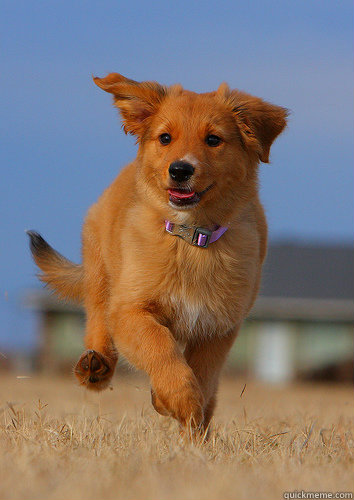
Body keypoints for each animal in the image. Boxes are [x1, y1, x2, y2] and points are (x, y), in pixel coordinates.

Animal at [27, 72, 288, 432]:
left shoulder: (219, 327)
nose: (180, 170)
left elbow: (203, 375)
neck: (191, 239)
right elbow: (160, 347)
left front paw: (184, 414)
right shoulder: (131, 310)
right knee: (97, 317)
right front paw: (178, 398)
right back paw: (95, 366)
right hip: (101, 271)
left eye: (213, 140)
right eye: (165, 138)